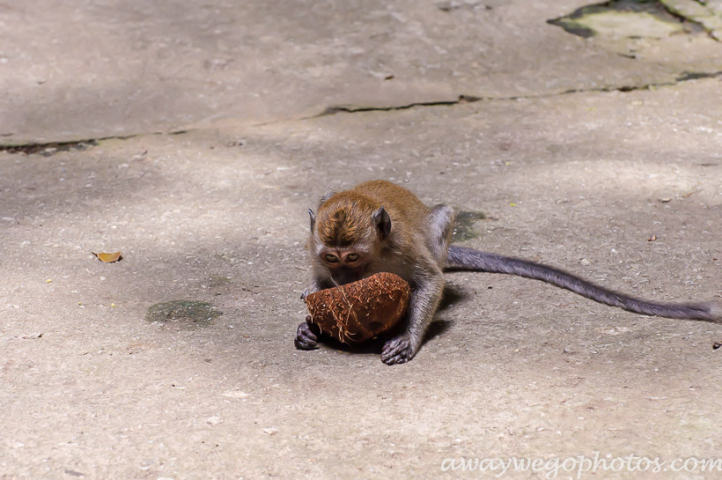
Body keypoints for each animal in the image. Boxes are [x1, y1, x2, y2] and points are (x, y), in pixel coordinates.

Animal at [294, 180, 720, 364]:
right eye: (332, 259)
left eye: (352, 259)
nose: (343, 282)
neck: (379, 254)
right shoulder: (313, 248)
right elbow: (313, 287)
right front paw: (307, 325)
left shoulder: (403, 246)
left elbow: (431, 281)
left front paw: (408, 340)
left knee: (443, 216)